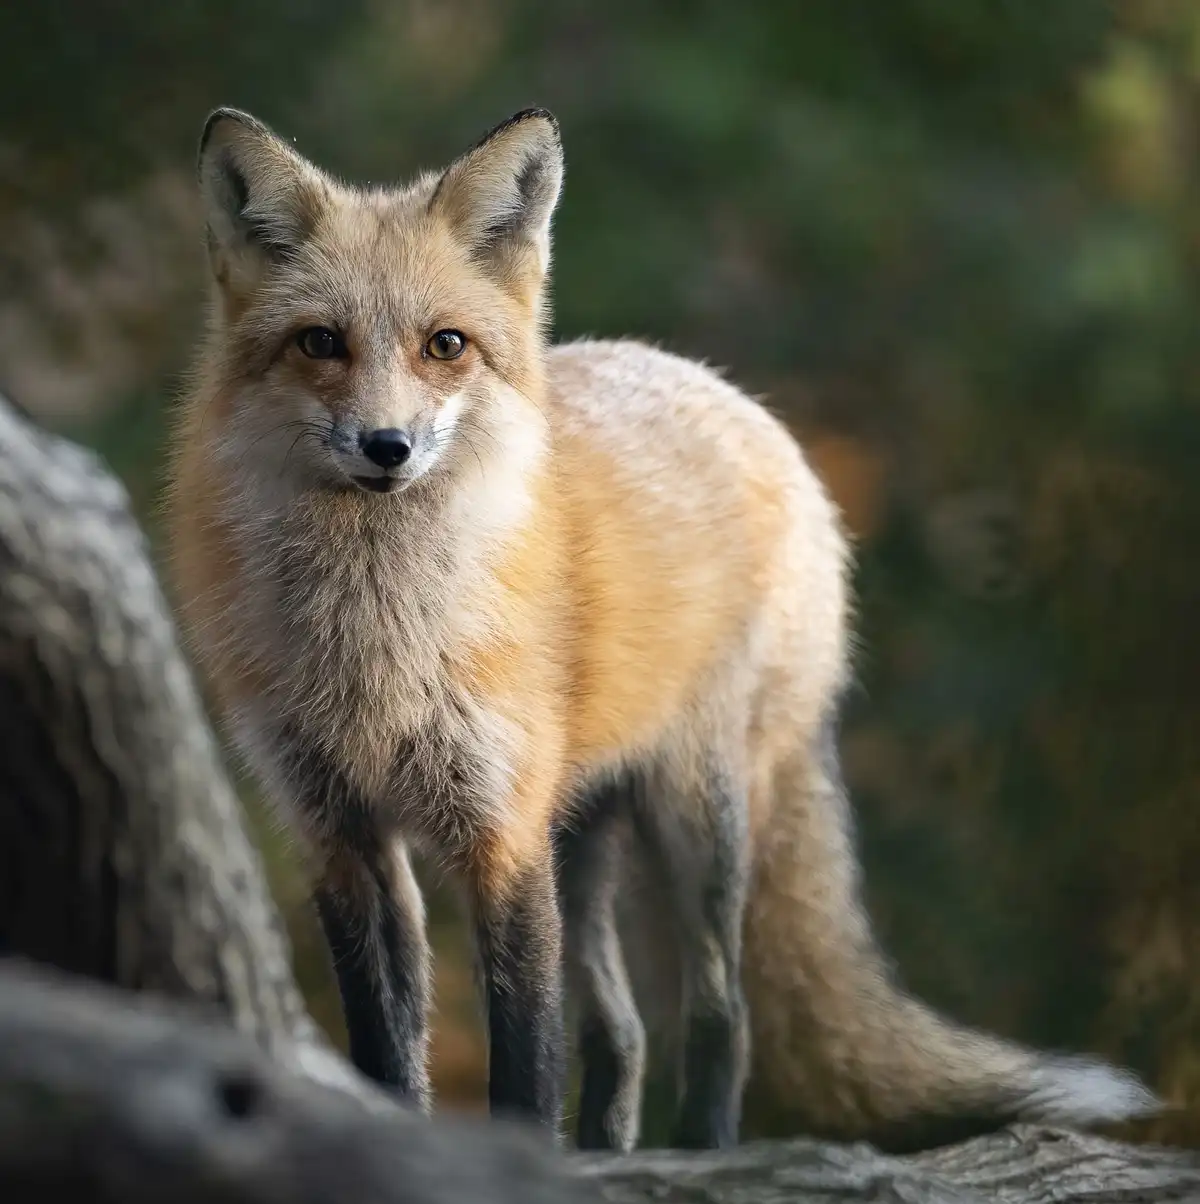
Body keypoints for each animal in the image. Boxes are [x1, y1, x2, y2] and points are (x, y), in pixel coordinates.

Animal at [165, 104, 1159, 1152]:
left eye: (445, 345)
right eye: (320, 342)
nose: (386, 447)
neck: (375, 640)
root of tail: (725, 391)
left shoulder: (504, 833)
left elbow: (528, 1063)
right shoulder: (339, 835)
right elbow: (388, 1057)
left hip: (695, 818)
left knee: (720, 1017)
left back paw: (710, 1150)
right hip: (586, 835)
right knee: (626, 1036)